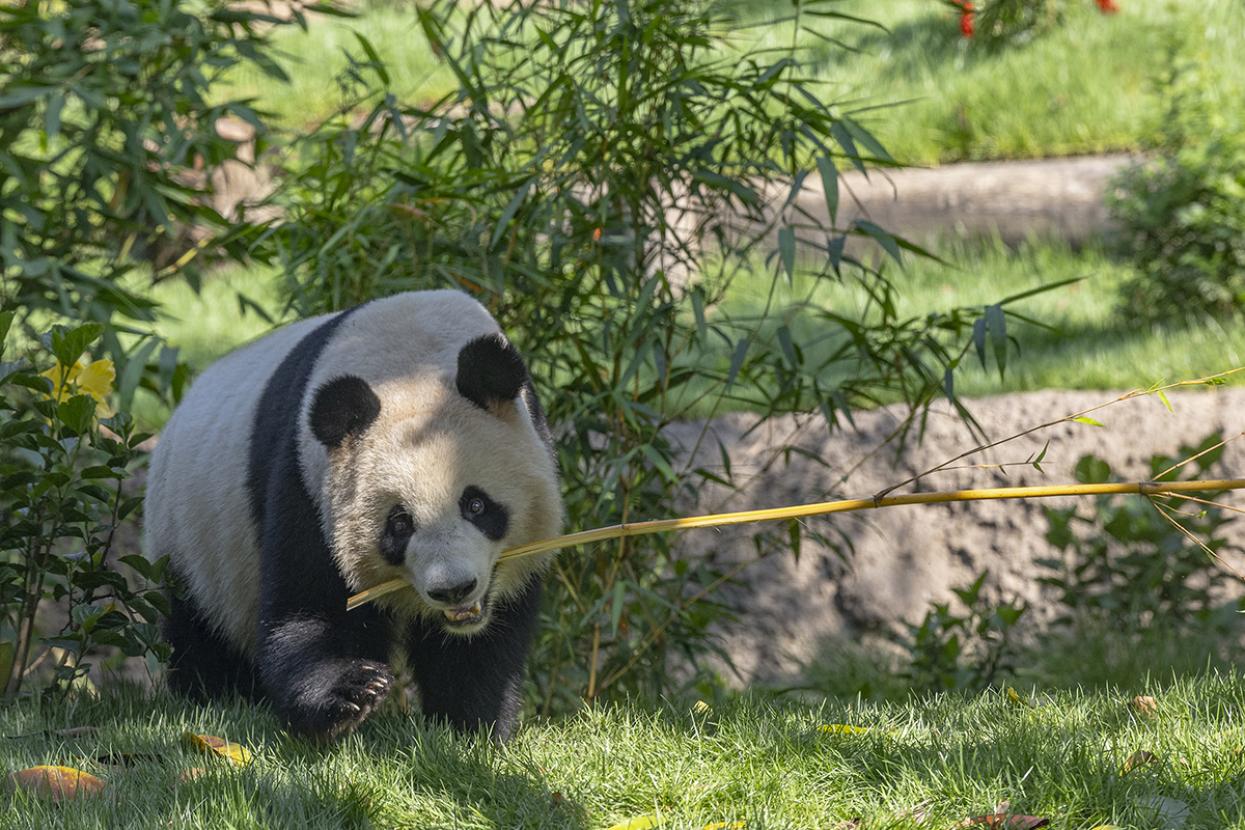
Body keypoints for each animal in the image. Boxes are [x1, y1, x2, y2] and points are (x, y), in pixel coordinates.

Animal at [143, 290, 562, 742]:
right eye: (399, 524)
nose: (453, 589)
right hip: (190, 541)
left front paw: (471, 726)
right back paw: (213, 696)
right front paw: (350, 693)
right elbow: (310, 608)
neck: (410, 369)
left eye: (476, 505)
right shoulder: (308, 485)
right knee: (199, 634)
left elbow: (480, 650)